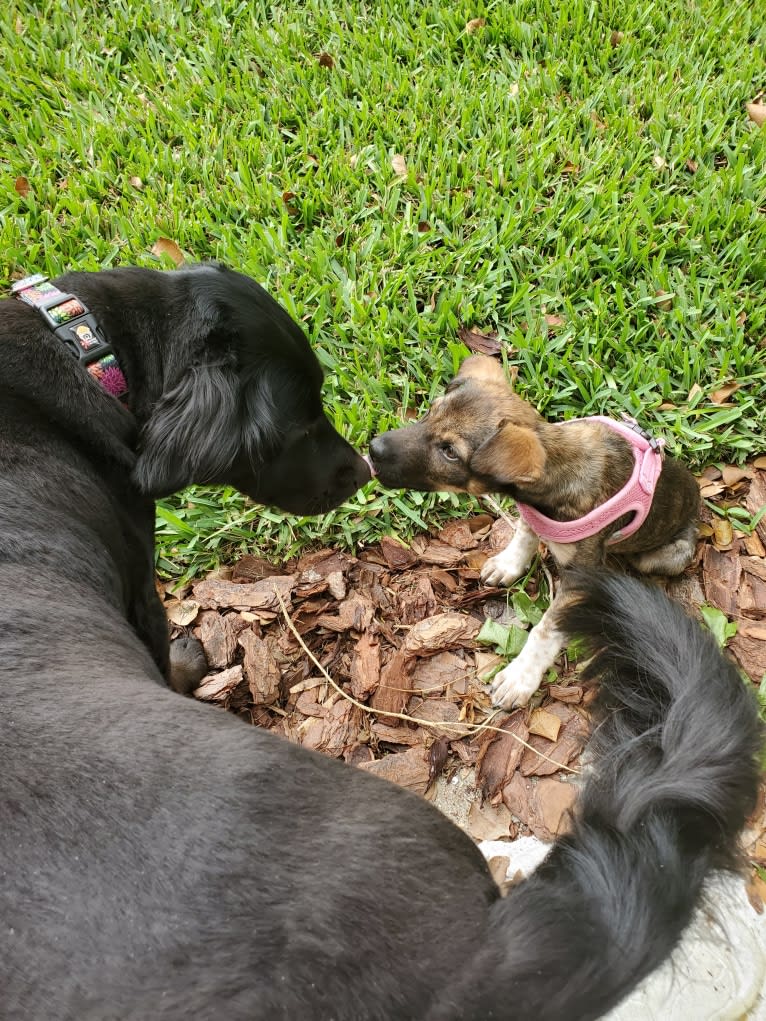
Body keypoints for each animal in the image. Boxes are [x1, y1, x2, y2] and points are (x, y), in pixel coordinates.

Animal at [371, 359, 702, 710]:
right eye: (430, 412)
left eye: (449, 451)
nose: (372, 448)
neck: (560, 467)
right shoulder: (531, 518)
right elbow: (524, 536)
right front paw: (508, 565)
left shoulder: (578, 577)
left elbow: (546, 629)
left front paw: (521, 676)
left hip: (666, 556)